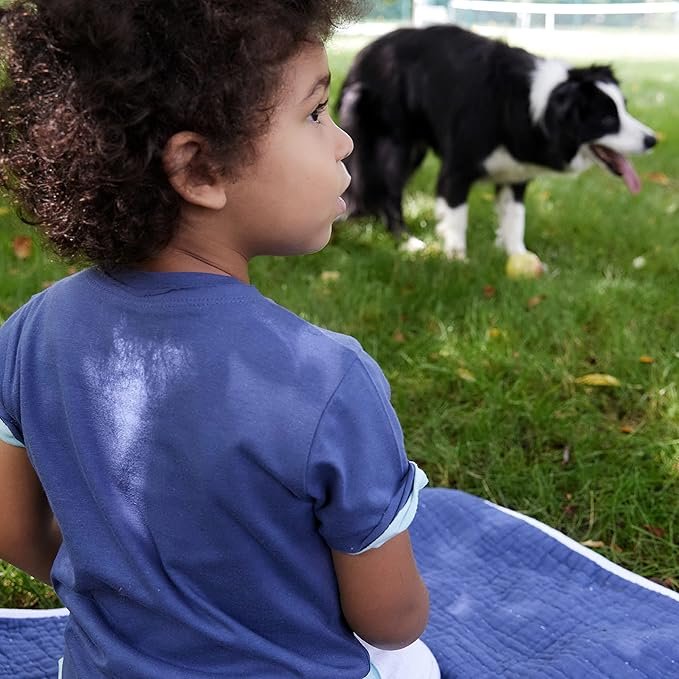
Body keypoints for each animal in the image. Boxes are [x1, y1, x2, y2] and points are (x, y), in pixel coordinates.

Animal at [340, 25, 660, 262]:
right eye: (606, 119)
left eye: (625, 108)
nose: (652, 140)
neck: (532, 107)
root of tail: (363, 56)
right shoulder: (457, 167)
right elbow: (457, 213)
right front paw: (456, 258)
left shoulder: (516, 173)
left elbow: (515, 217)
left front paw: (519, 256)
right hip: (394, 141)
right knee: (389, 190)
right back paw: (406, 241)